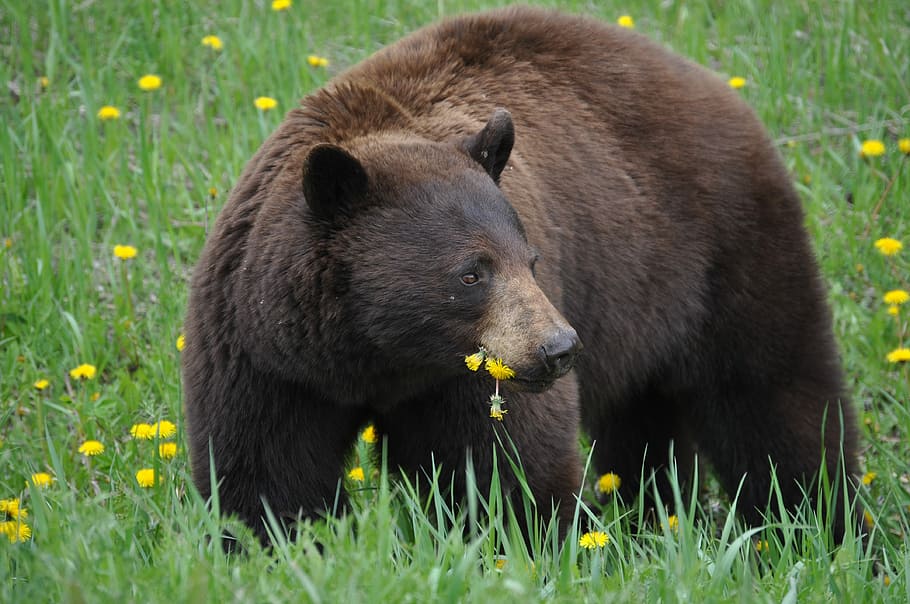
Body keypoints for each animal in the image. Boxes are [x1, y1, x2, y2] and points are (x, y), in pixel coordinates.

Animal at [182, 5, 859, 545]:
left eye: (530, 260)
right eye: (471, 272)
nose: (559, 348)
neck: (376, 359)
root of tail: (709, 80)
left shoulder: (471, 374)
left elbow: (504, 467)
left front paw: (535, 542)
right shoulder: (264, 356)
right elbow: (268, 472)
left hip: (721, 250)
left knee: (775, 396)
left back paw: (823, 527)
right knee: (648, 419)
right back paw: (651, 516)